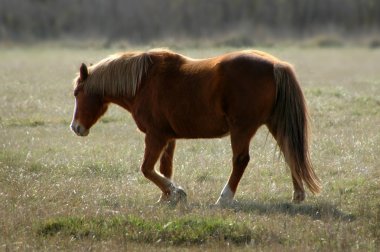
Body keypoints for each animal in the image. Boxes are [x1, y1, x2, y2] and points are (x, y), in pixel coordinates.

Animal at [70, 47, 320, 205]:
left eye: (76, 93)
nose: (76, 127)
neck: (143, 82)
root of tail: (275, 65)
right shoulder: (168, 138)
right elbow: (165, 168)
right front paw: (166, 197)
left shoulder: (155, 136)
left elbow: (147, 169)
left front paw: (176, 192)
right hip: (275, 124)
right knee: (290, 153)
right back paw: (298, 194)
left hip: (242, 129)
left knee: (241, 161)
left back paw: (225, 197)